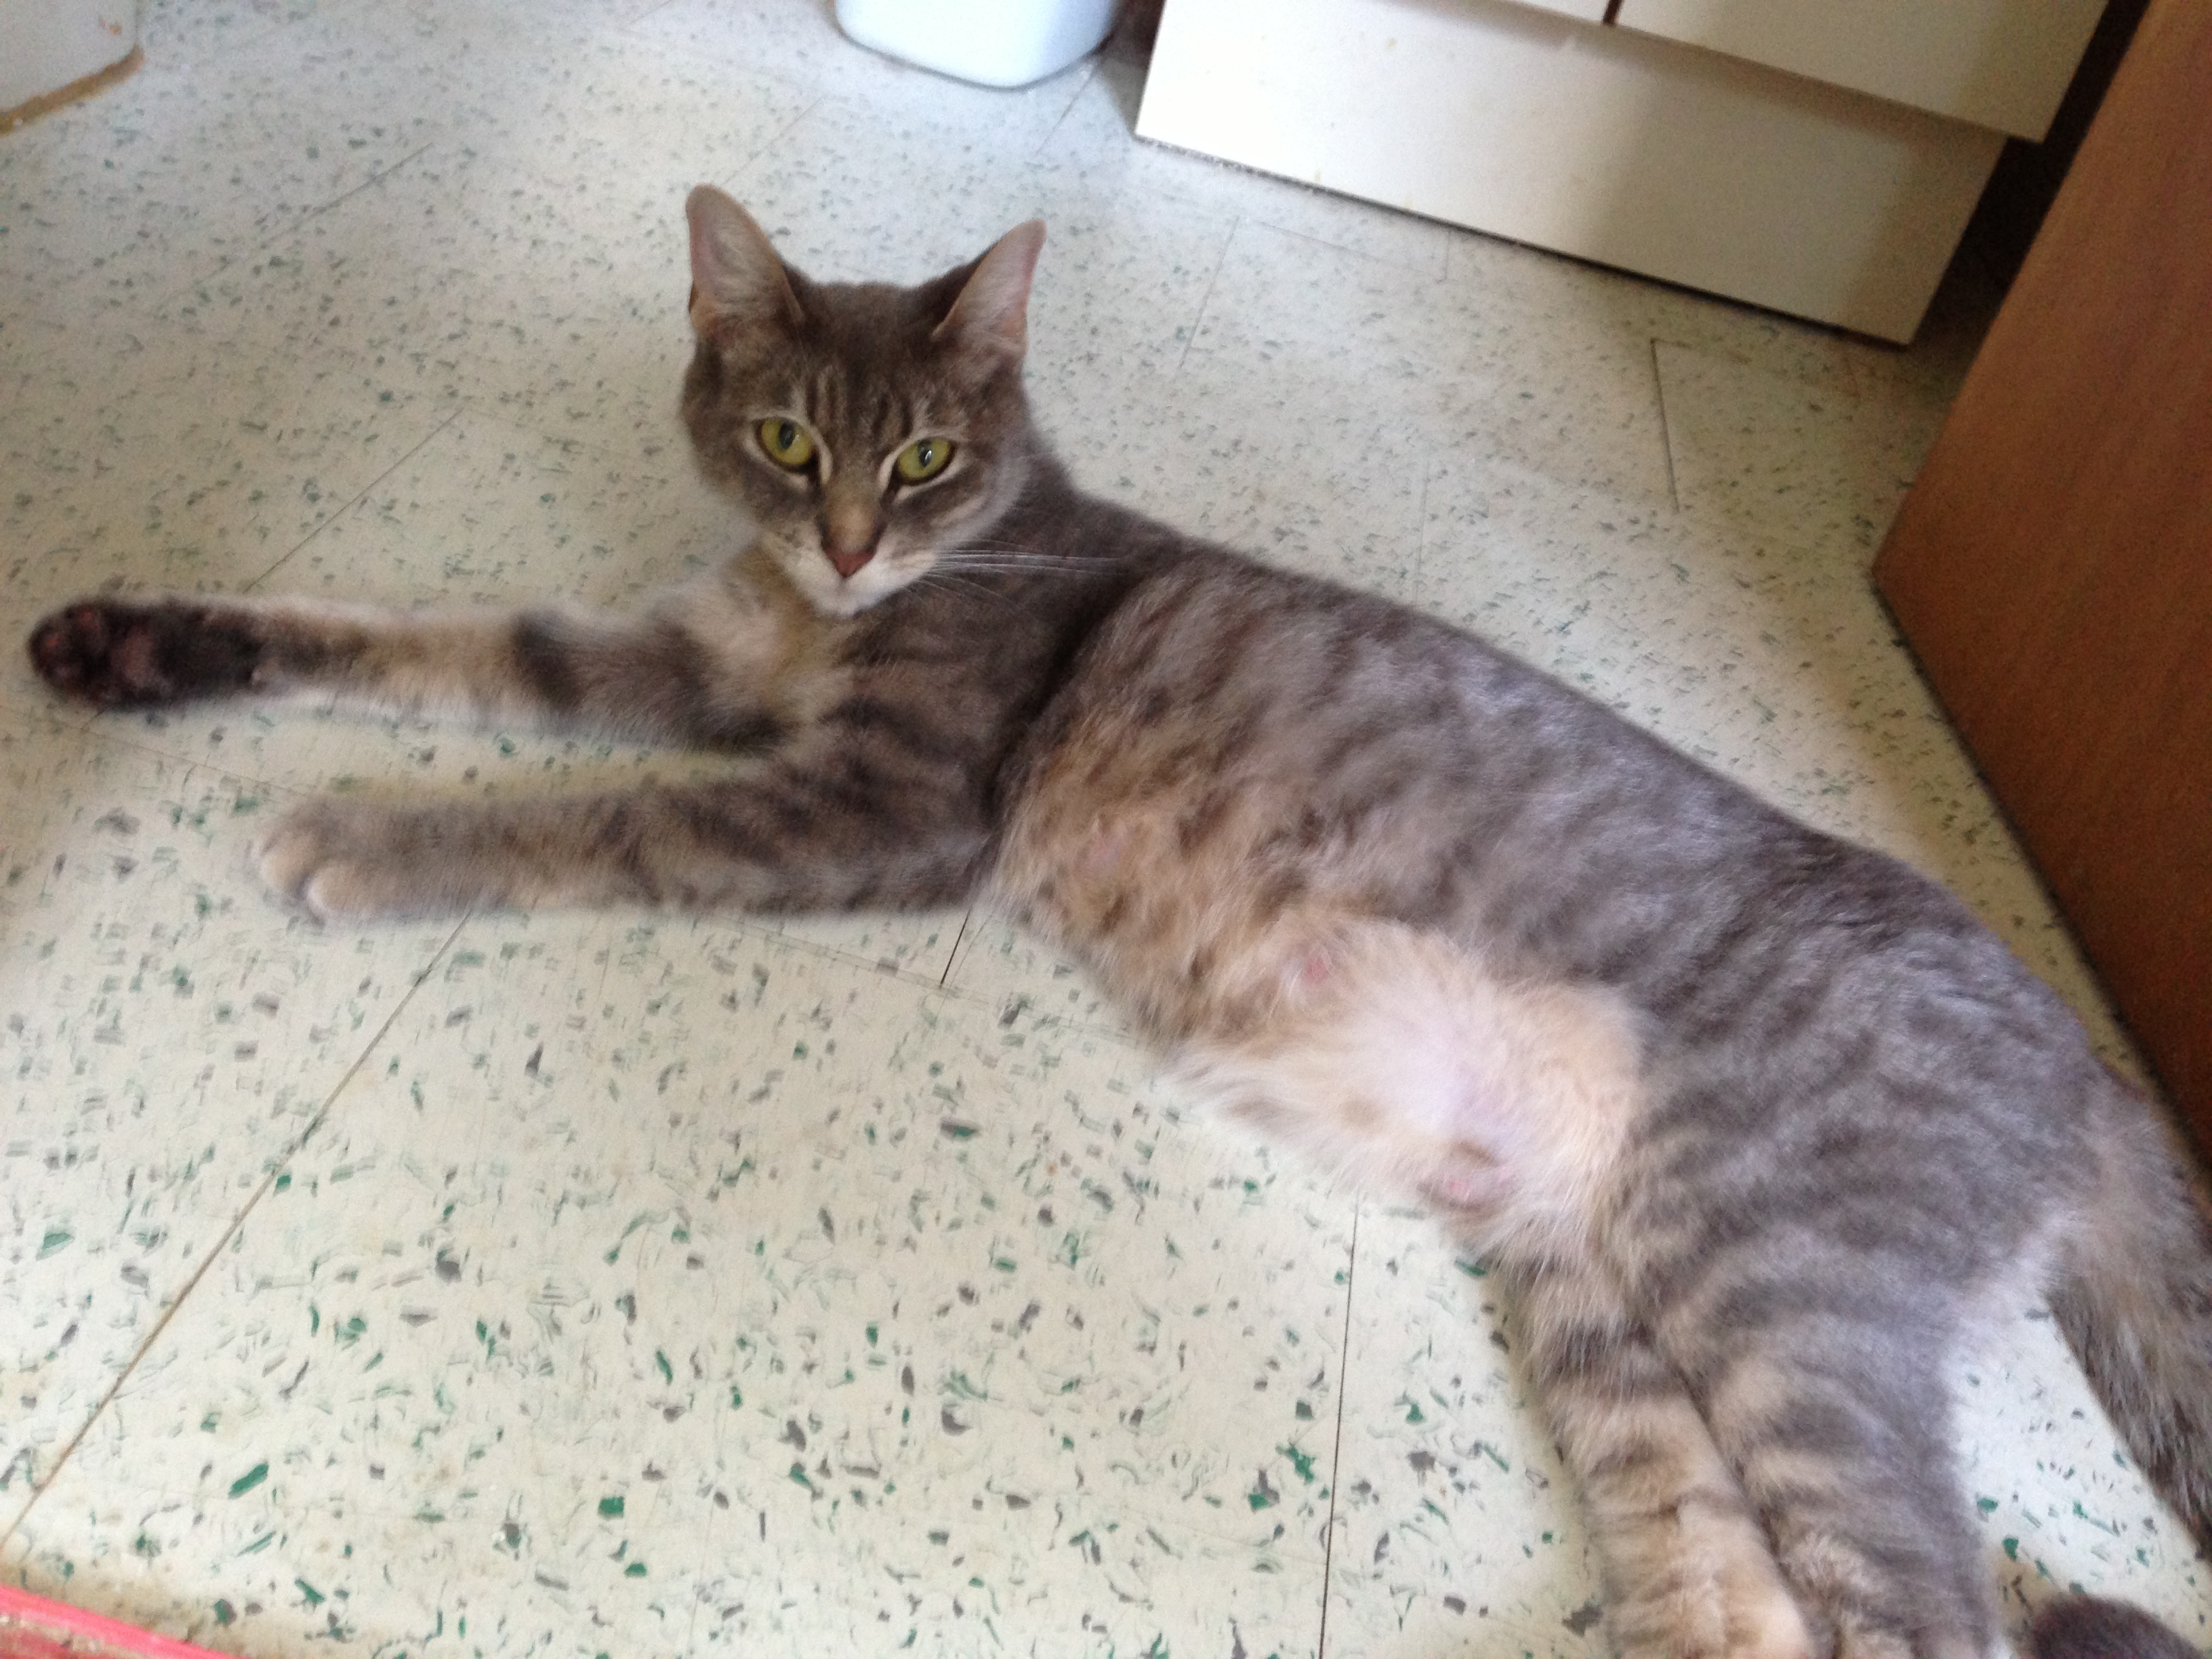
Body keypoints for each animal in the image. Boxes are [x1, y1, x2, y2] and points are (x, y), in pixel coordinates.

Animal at [26, 185, 2210, 1659]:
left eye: (922, 456)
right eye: (789, 441)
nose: (848, 545)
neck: (838, 607)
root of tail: (2091, 1060)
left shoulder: (879, 804)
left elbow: (592, 824)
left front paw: (360, 837)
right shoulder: (680, 661)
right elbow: (429, 637)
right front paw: (138, 644)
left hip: (1768, 1286)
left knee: (1933, 1615)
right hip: (1613, 1317)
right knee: (1749, 1606)